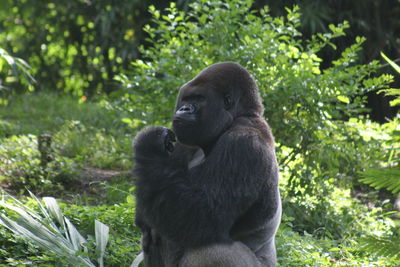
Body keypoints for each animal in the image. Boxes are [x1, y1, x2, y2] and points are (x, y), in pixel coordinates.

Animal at [133, 61, 280, 266]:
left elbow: (202, 213)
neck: (242, 116)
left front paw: (150, 144)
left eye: (199, 99)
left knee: (210, 249)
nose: (184, 109)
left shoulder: (243, 145)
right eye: (186, 98)